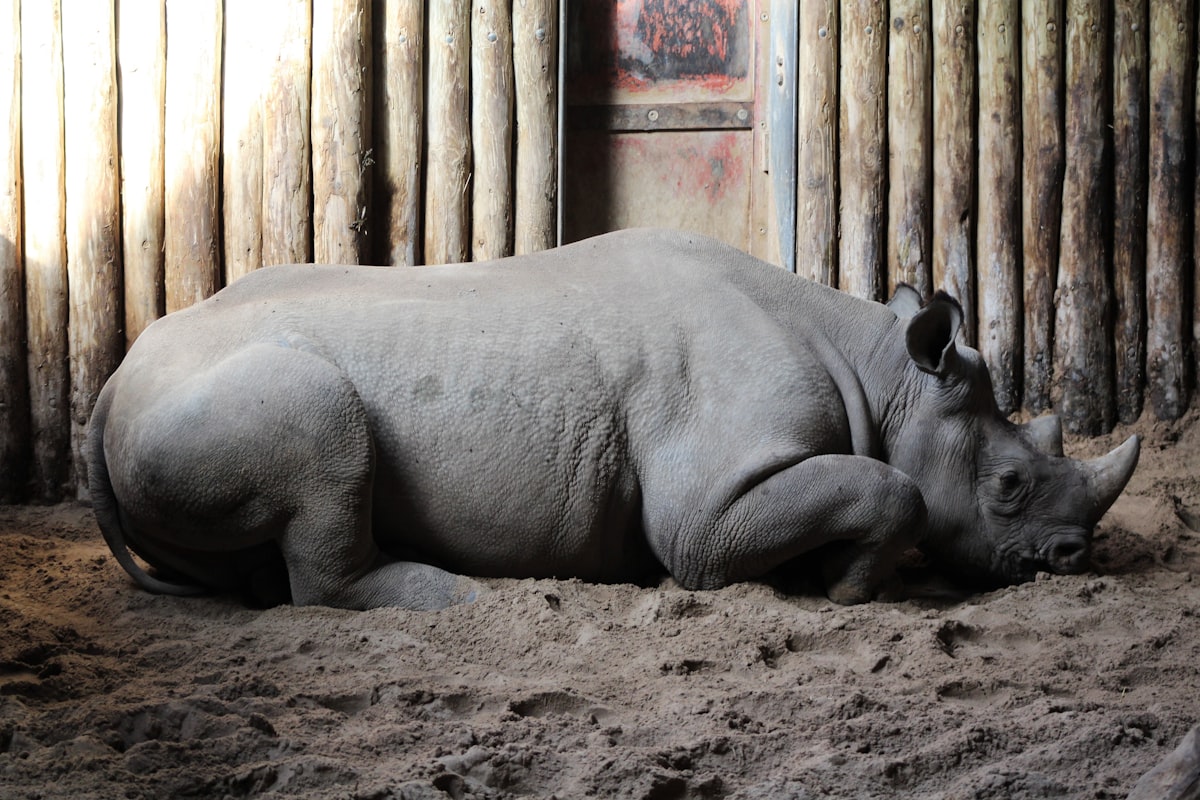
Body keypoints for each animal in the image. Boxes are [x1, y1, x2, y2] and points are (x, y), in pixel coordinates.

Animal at [87, 229, 1140, 610]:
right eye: (1008, 486)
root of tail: (113, 378)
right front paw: (847, 590)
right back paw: (455, 599)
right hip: (240, 394)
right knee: (322, 428)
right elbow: (895, 493)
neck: (885, 375)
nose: (1071, 560)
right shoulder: (712, 504)